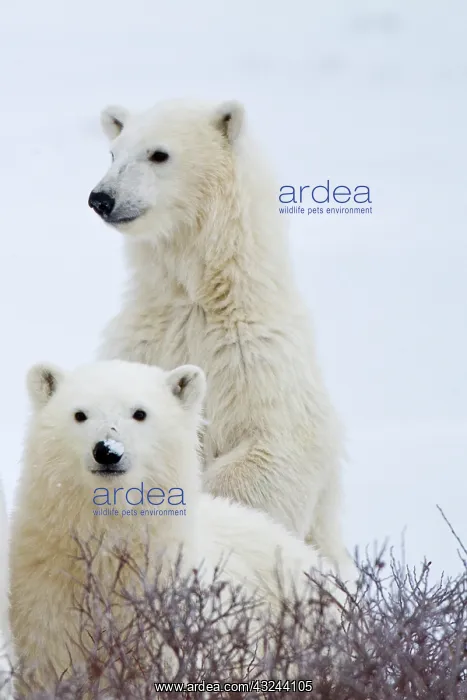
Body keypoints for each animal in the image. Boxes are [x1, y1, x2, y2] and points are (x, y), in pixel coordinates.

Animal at [88, 97, 354, 580]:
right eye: (113, 153)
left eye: (159, 154)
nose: (102, 198)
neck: (199, 298)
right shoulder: (145, 343)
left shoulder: (257, 356)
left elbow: (275, 450)